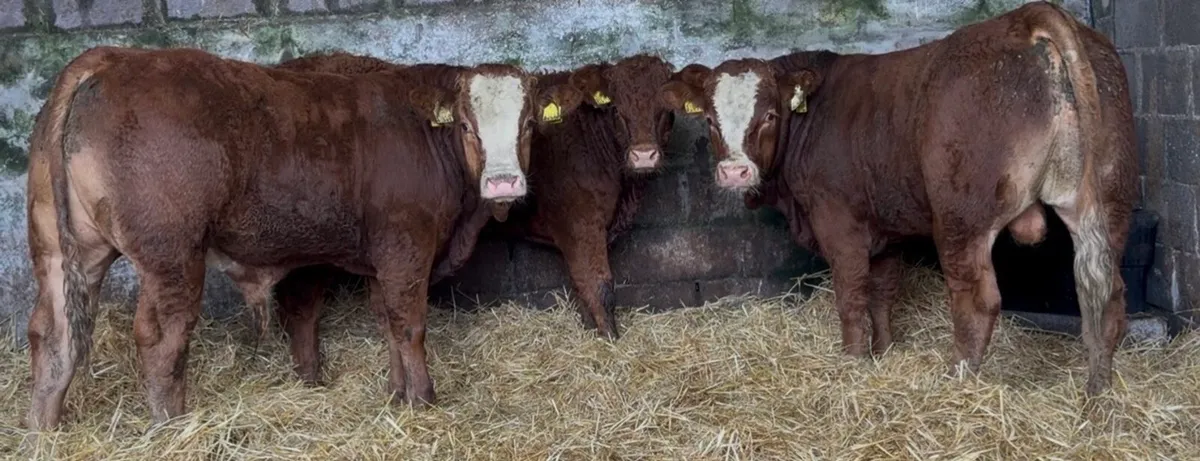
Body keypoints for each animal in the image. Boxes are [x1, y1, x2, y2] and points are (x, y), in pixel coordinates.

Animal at [24, 45, 583, 430]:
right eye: (467, 125)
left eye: (528, 124)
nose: (504, 182)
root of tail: (112, 58)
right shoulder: (406, 247)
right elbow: (410, 326)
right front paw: (424, 400)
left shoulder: (380, 258)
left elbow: (387, 323)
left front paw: (396, 395)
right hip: (172, 255)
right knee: (161, 339)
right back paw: (172, 427)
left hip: (62, 246)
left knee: (54, 334)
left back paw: (44, 430)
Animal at [661, 1, 1138, 396]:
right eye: (709, 119)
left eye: (770, 116)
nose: (734, 172)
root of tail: (1024, 18)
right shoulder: (885, 230)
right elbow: (883, 294)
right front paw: (884, 351)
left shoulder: (840, 223)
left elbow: (852, 295)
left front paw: (852, 361)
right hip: (1106, 202)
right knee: (1106, 294)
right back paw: (1098, 394)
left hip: (960, 218)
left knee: (977, 301)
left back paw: (956, 378)